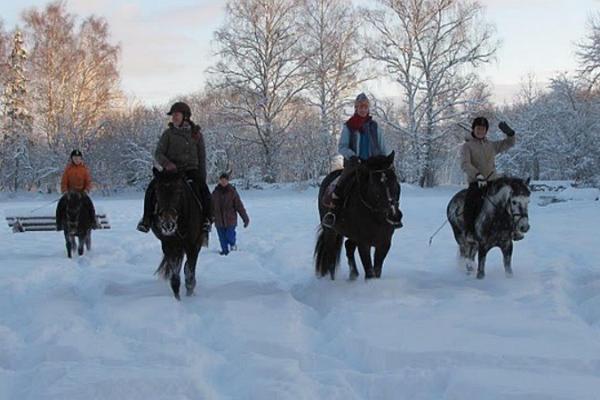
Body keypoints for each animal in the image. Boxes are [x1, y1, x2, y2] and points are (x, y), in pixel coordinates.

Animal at [314, 152, 404, 280]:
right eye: (374, 186)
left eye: (395, 182)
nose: (394, 216)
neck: (377, 216)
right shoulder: (364, 243)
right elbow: (369, 271)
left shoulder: (385, 243)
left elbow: (377, 271)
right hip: (330, 231)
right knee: (331, 255)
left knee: (348, 246)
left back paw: (353, 275)